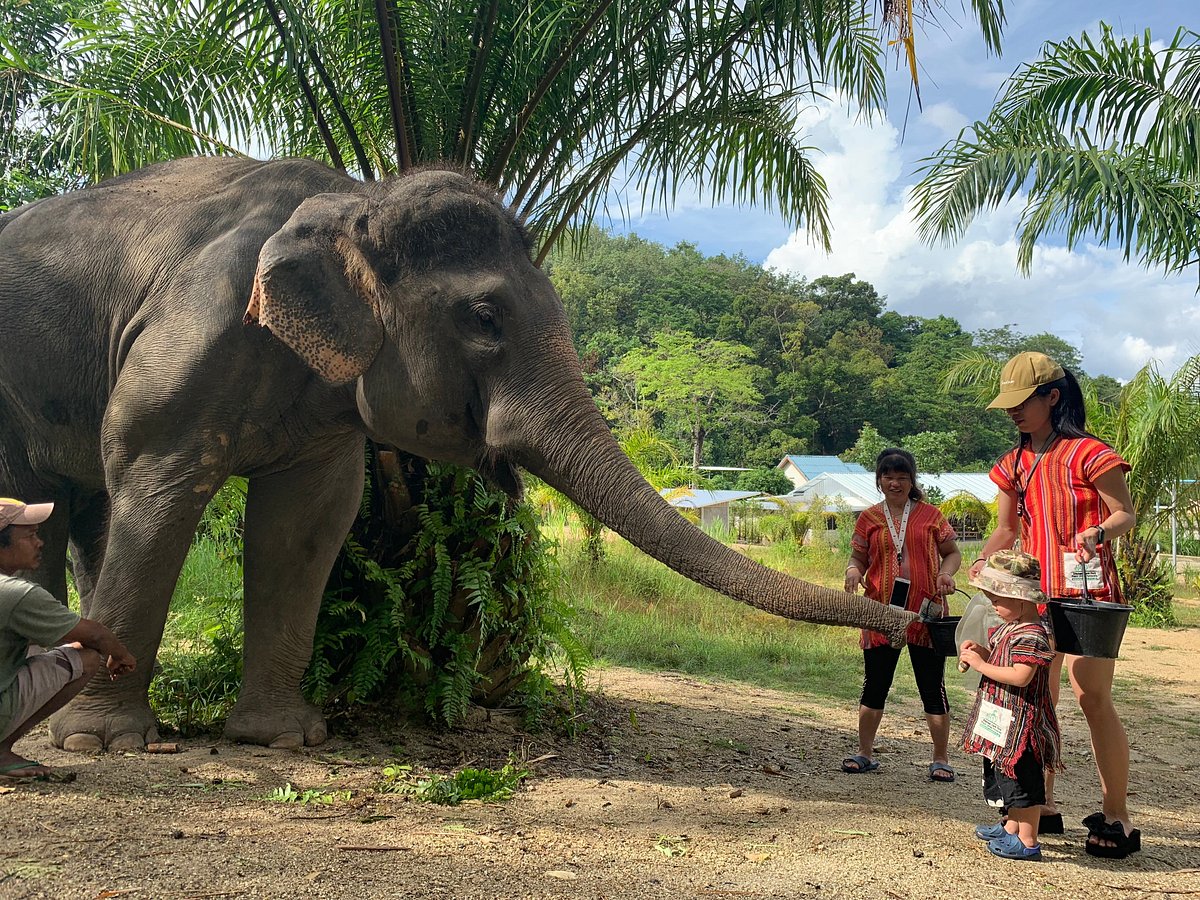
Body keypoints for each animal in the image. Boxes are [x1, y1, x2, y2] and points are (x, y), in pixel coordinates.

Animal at [0, 158, 912, 748]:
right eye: (483, 317)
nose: (922, 616)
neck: (354, 198)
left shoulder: (327, 408)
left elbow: (306, 525)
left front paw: (286, 740)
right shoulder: (194, 330)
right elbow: (160, 481)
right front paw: (97, 744)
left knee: (82, 508)